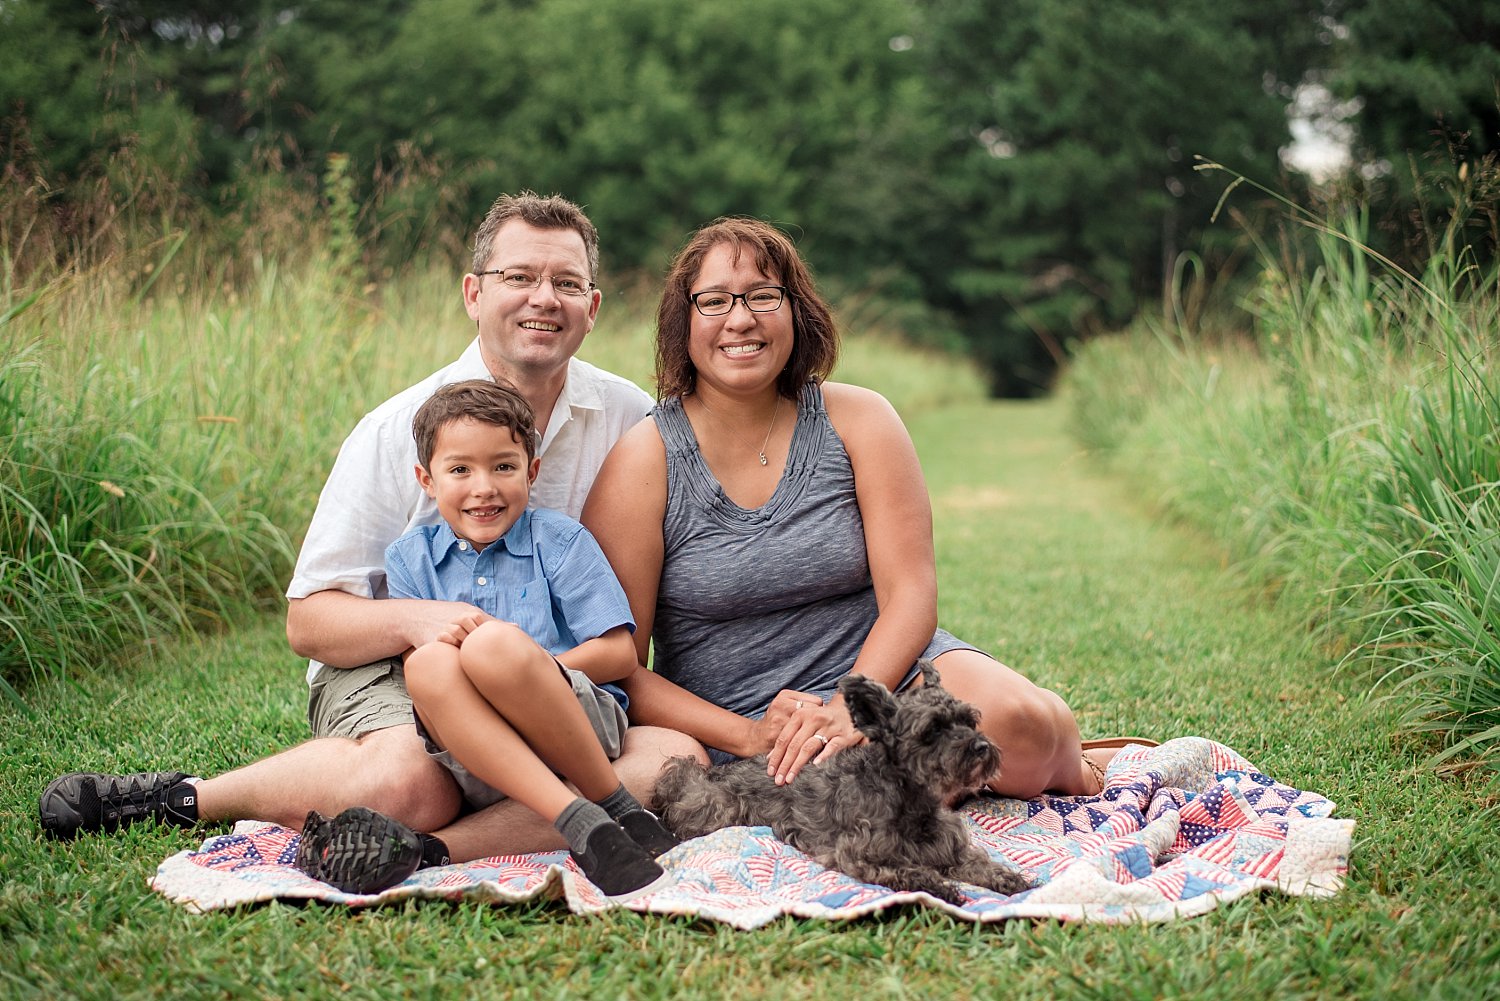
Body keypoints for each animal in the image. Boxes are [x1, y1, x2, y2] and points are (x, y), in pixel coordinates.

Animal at [651, 660, 1038, 906]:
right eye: (931, 731)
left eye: (969, 720)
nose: (981, 747)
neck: (910, 799)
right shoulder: (858, 856)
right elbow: (910, 871)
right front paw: (941, 887)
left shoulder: (951, 847)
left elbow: (980, 863)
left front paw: (1009, 879)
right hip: (721, 809)